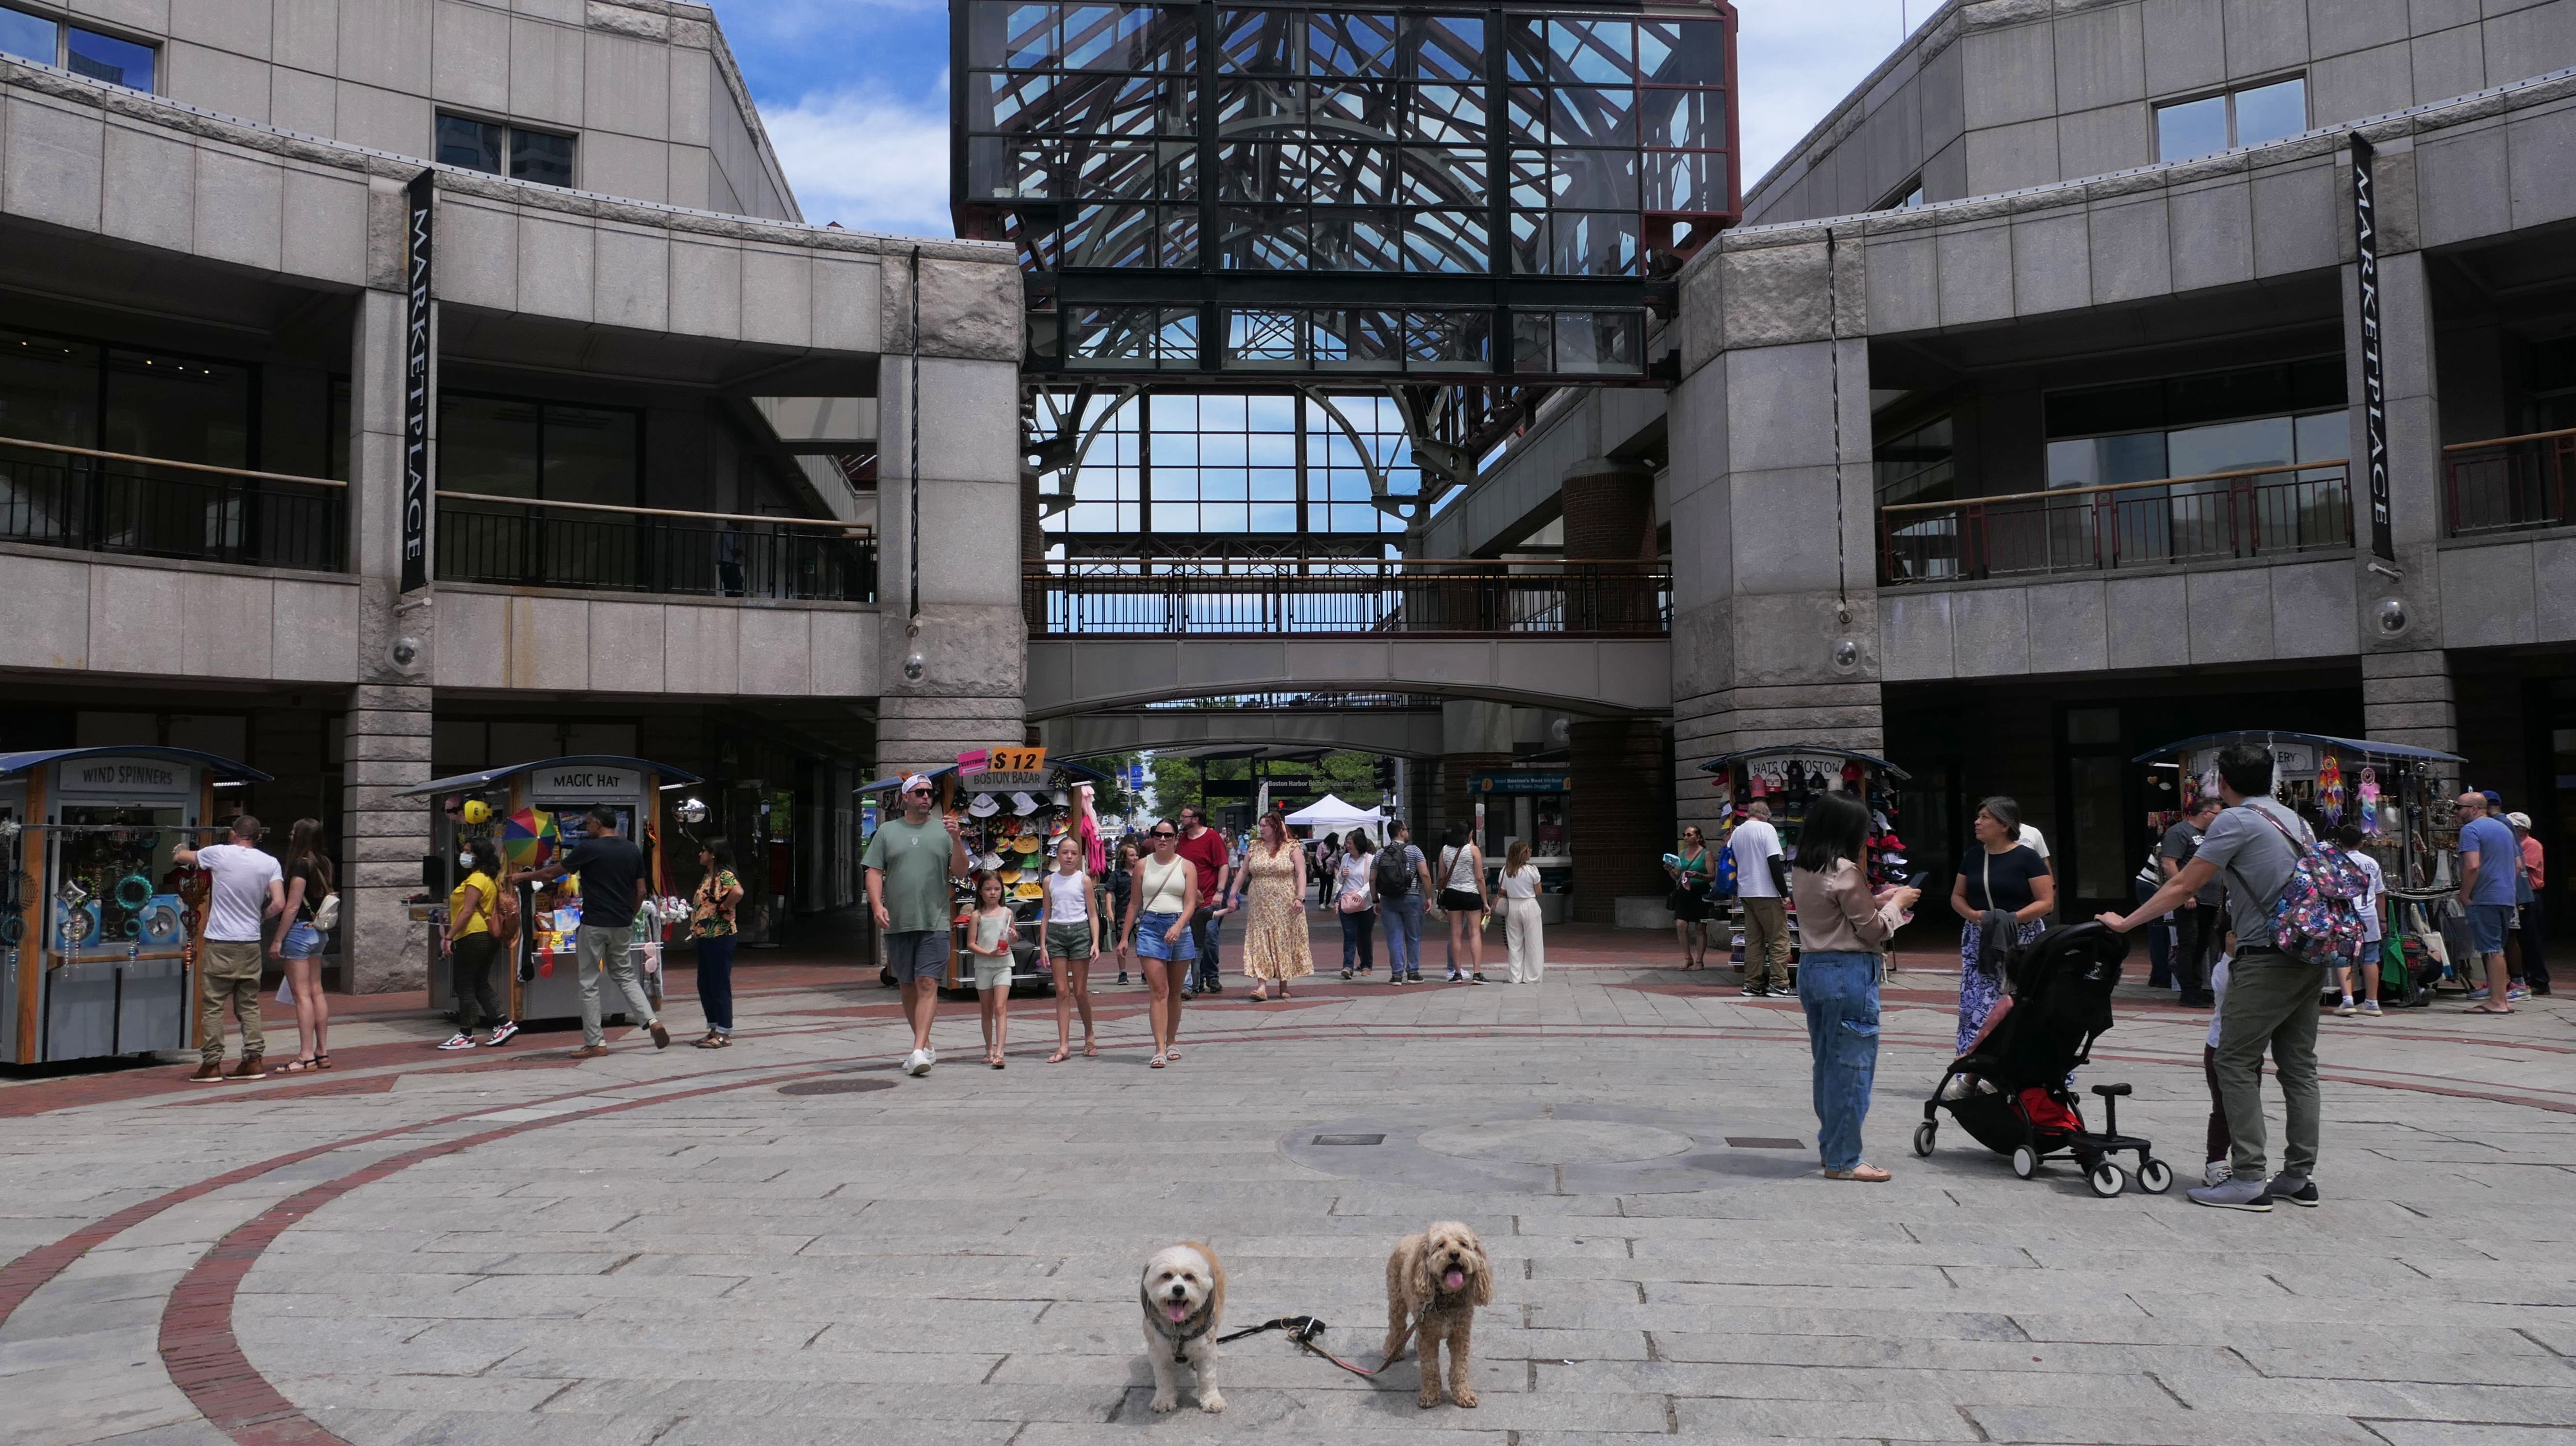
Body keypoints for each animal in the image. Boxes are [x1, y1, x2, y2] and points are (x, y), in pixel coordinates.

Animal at [1139, 1242, 1226, 1413]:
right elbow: (1164, 1377)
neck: (1179, 1328)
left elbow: (1208, 1377)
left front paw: (1212, 1400)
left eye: (1189, 1277)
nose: (1178, 1289)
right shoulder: (1158, 1352)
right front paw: (1164, 1400)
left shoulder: (1207, 1350)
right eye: (1166, 1276)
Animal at [1380, 1220, 1492, 1408]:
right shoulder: (1429, 1338)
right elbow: (1430, 1368)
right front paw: (1430, 1396)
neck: (1447, 1298)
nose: (1454, 1254)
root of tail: (1410, 1237)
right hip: (1397, 1299)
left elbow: (1460, 1368)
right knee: (1397, 1326)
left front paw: (1463, 1394)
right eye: (1441, 1245)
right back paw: (1392, 1351)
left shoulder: (1460, 1335)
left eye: (1463, 1244)